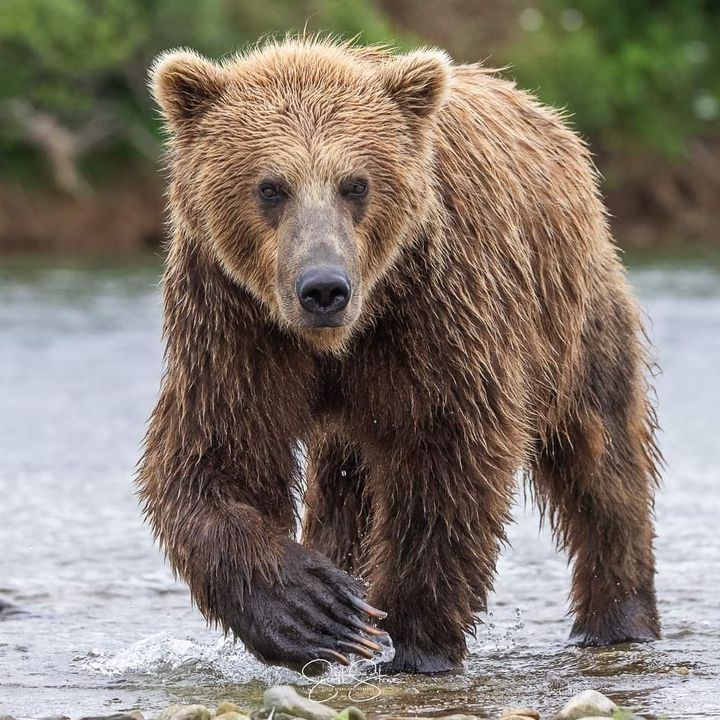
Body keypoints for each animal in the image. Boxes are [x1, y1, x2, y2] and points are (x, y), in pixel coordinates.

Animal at [137, 37, 661, 674]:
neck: (343, 337)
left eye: (356, 183)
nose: (323, 288)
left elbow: (448, 454)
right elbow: (218, 455)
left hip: (574, 318)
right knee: (346, 490)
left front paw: (408, 640)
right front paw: (314, 609)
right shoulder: (233, 321)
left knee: (601, 460)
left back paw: (618, 620)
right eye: (271, 187)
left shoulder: (437, 313)